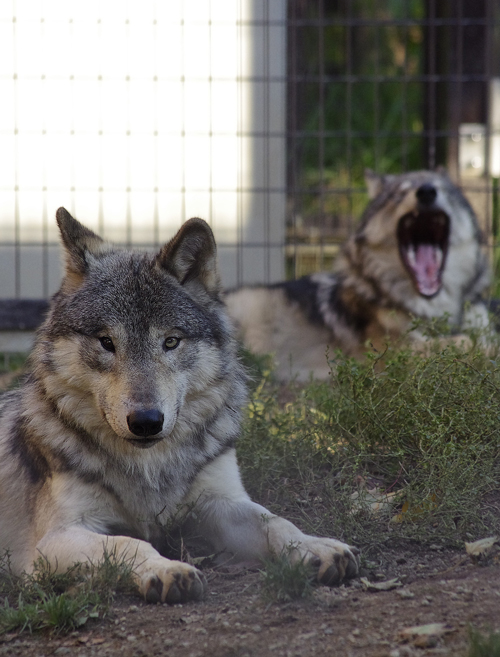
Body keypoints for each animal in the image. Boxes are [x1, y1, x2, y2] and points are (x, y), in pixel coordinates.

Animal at [0, 208, 360, 604]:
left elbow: (277, 522)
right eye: (107, 342)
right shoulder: (53, 540)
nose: (145, 421)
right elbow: (128, 543)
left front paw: (315, 547)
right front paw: (166, 570)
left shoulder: (221, 501)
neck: (150, 467)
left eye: (171, 341)